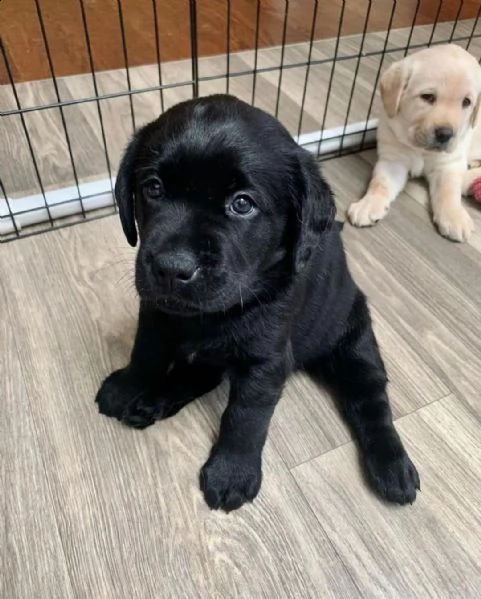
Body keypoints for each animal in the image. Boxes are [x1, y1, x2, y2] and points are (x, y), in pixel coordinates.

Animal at [95, 94, 418, 510]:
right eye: (152, 188)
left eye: (242, 204)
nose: (172, 268)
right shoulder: (154, 315)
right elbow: (145, 354)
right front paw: (127, 387)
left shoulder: (265, 361)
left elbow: (244, 418)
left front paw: (231, 473)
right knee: (200, 374)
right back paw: (152, 399)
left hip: (355, 340)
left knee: (371, 400)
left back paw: (392, 466)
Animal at [346, 44, 480, 243]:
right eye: (428, 97)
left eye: (466, 102)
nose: (446, 134)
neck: (420, 148)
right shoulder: (393, 160)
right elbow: (380, 183)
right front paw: (368, 204)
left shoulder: (449, 163)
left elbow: (448, 191)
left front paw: (454, 217)